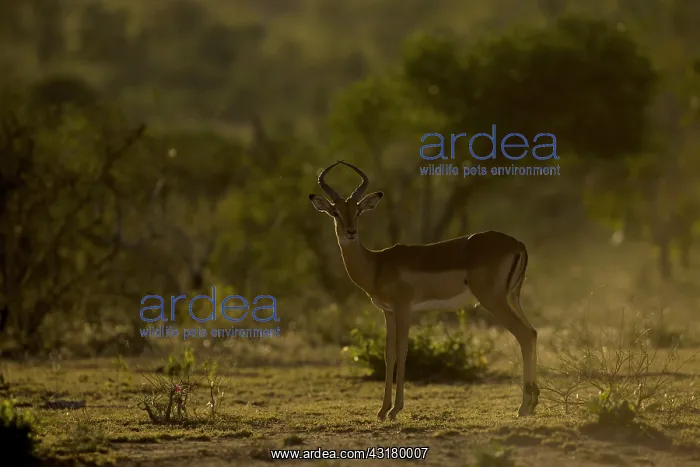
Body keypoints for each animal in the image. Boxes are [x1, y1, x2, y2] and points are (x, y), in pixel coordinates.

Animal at [308, 161, 539, 421]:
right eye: (335, 212)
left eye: (357, 211)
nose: (350, 232)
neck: (377, 265)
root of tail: (518, 244)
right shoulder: (388, 312)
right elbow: (389, 354)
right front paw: (382, 410)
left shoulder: (404, 308)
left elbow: (402, 351)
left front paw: (395, 409)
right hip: (512, 298)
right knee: (532, 332)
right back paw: (533, 402)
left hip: (493, 300)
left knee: (524, 334)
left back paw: (523, 407)